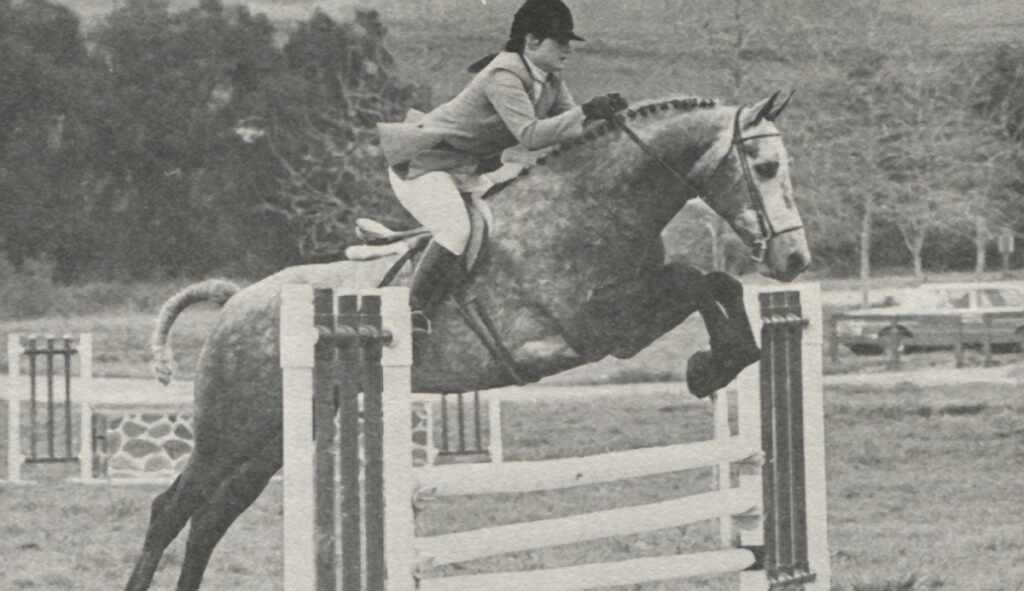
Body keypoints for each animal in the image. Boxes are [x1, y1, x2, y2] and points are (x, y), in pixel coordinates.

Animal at [123, 92, 806, 589]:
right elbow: (696, 283)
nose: (795, 260)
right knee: (172, 508)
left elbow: (715, 283)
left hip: (275, 439)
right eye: (766, 167)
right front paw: (706, 366)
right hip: (231, 430)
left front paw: (719, 362)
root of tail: (238, 300)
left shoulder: (628, 308)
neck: (593, 204)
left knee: (212, 516)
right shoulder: (597, 327)